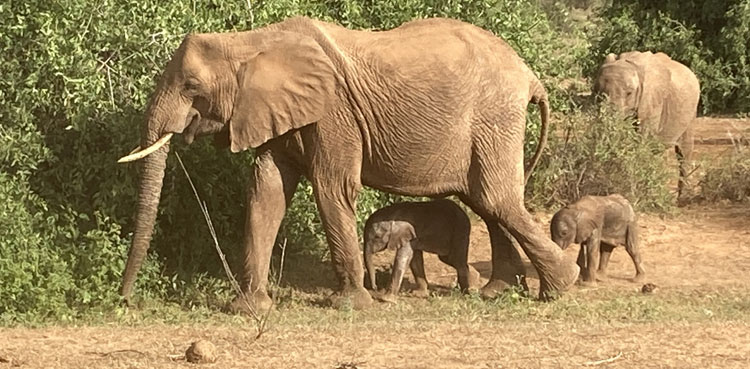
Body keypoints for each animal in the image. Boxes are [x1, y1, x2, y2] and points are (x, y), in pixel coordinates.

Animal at [119, 16, 580, 310]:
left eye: (191, 86)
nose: (125, 300)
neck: (250, 41)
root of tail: (530, 75)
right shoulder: (278, 110)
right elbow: (267, 190)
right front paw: (249, 309)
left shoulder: (334, 112)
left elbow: (331, 187)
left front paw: (350, 305)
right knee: (488, 203)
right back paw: (498, 291)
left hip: (494, 116)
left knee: (496, 198)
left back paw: (561, 286)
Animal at [596, 51, 704, 198]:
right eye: (598, 93)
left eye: (629, 93)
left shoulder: (651, 101)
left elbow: (642, 140)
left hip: (691, 110)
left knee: (683, 152)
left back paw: (682, 197)